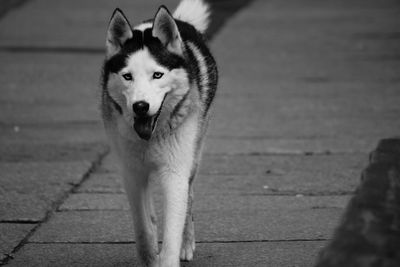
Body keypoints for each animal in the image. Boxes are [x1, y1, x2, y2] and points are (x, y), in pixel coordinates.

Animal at [101, 0, 217, 266]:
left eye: (158, 74)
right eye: (127, 76)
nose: (140, 106)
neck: (149, 139)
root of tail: (181, 21)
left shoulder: (175, 172)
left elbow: (173, 224)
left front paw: (170, 255)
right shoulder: (131, 173)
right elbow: (143, 225)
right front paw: (150, 254)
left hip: (194, 155)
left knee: (189, 199)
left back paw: (187, 244)